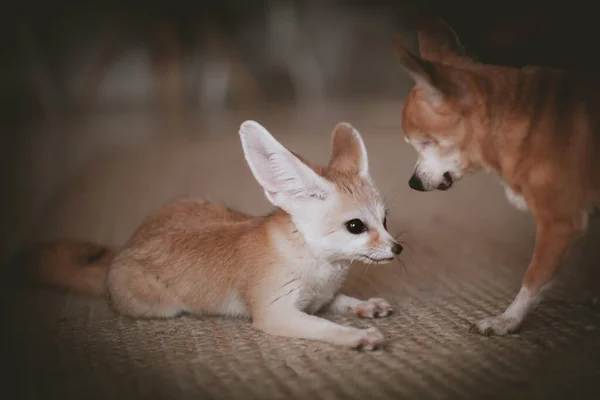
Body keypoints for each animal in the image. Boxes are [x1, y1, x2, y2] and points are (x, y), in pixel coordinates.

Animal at [10, 120, 404, 348]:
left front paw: (363, 306)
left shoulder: (316, 298)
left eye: (385, 220)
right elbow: (323, 327)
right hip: (161, 308)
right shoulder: (274, 312)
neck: (317, 266)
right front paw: (355, 336)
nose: (398, 248)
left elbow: (338, 302)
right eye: (356, 226)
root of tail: (124, 246)